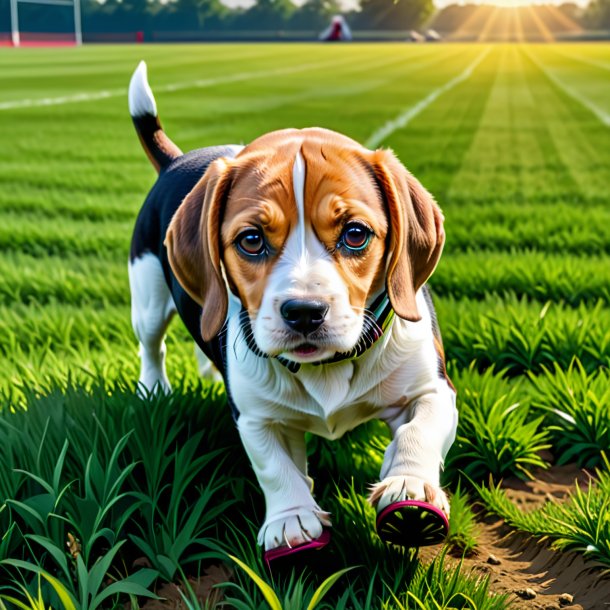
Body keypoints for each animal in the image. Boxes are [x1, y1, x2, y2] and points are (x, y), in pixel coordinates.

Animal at [127, 61, 456, 556]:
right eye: (251, 239)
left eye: (355, 234)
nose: (304, 311)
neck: (327, 367)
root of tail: (177, 160)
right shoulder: (256, 417)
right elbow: (274, 466)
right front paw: (291, 519)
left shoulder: (433, 387)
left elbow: (422, 428)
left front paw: (408, 486)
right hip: (146, 296)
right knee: (152, 345)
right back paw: (154, 388)